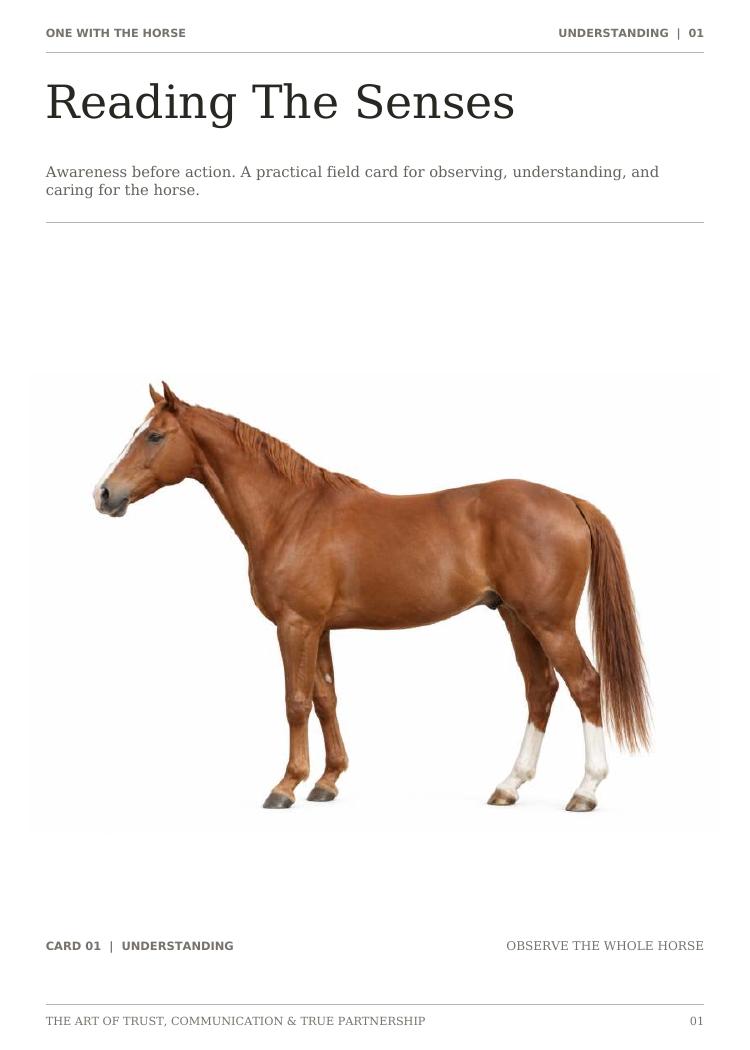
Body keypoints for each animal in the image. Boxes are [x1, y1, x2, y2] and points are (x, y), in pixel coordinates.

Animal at [94, 383, 649, 812]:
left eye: (154, 435)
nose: (104, 494)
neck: (290, 513)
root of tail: (569, 501)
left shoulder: (295, 625)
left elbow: (296, 702)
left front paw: (285, 786)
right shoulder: (318, 628)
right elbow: (325, 698)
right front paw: (327, 781)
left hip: (549, 621)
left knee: (584, 685)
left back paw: (585, 791)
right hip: (516, 618)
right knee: (541, 689)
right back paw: (508, 786)